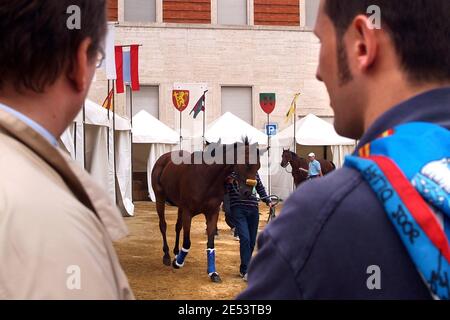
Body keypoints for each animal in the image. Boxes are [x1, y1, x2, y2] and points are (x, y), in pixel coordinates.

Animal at [152, 139, 262, 282]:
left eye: (258, 166)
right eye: (248, 164)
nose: (248, 193)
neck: (206, 177)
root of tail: (163, 159)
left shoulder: (212, 213)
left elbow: (210, 243)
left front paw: (212, 273)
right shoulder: (188, 212)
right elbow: (187, 242)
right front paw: (178, 263)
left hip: (179, 206)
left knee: (177, 227)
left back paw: (176, 252)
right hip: (159, 198)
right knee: (163, 225)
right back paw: (167, 255)